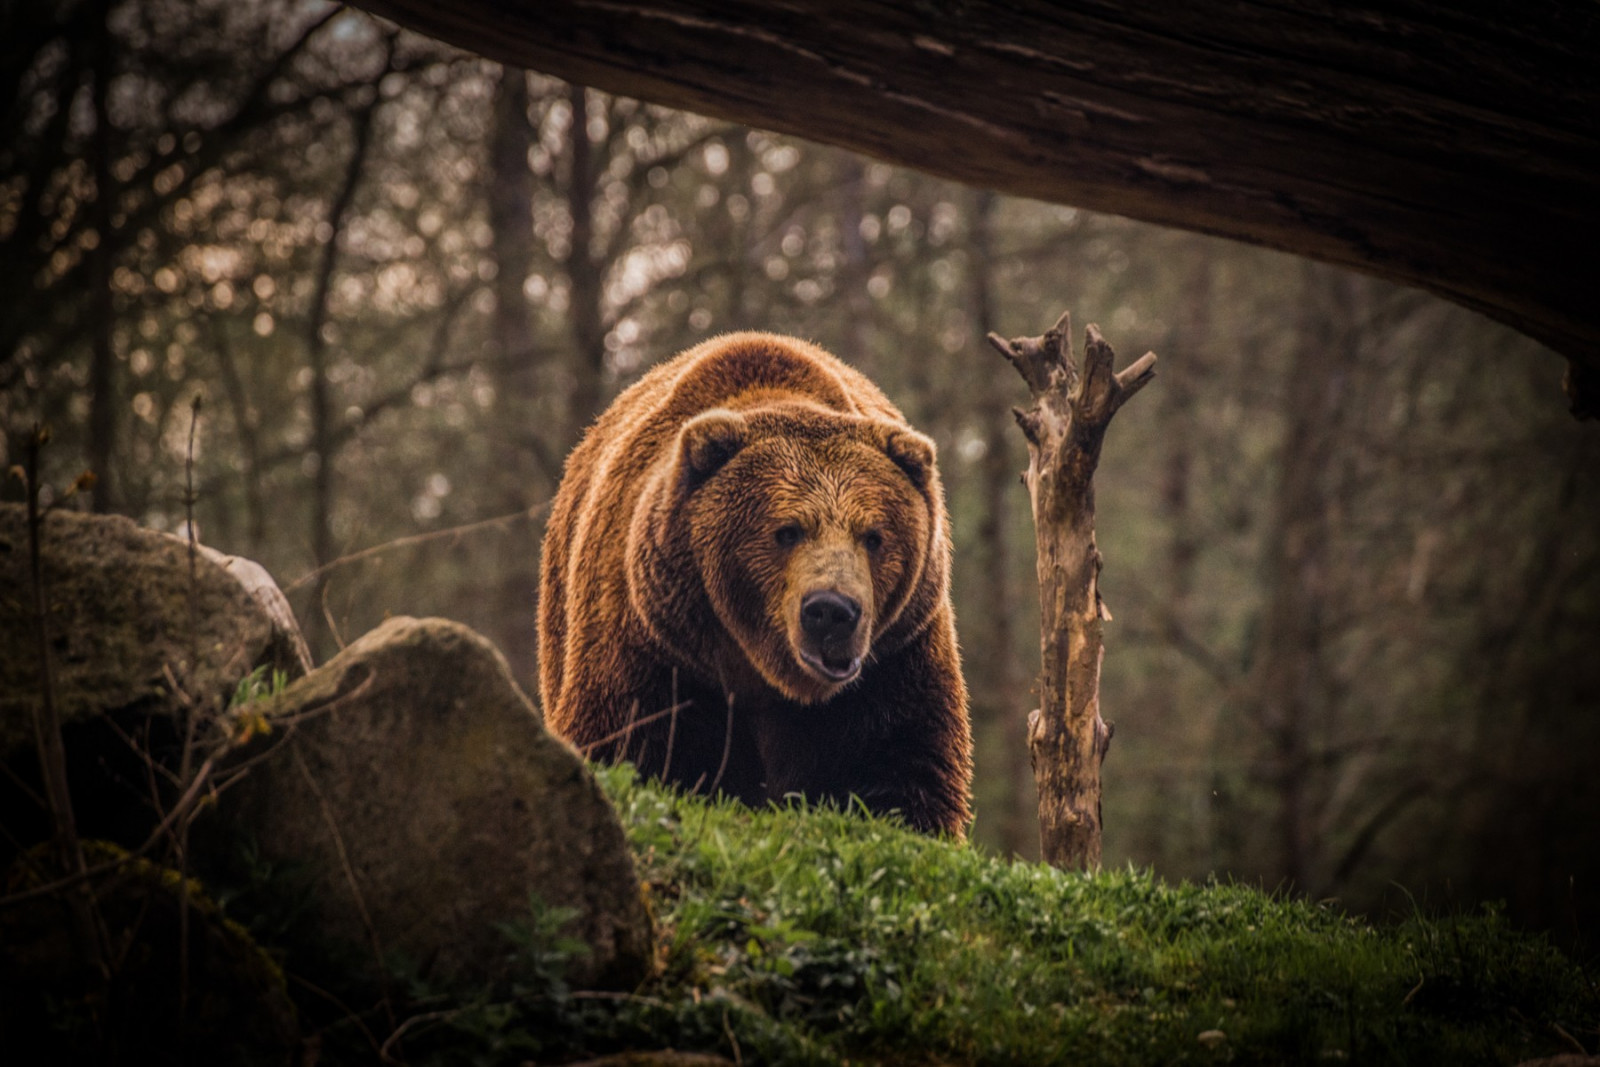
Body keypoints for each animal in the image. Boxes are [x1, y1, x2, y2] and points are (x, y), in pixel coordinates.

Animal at [538, 332, 972, 836]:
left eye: (874, 536)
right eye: (786, 530)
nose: (831, 611)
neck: (765, 677)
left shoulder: (896, 659)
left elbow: (905, 770)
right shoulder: (653, 649)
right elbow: (626, 743)